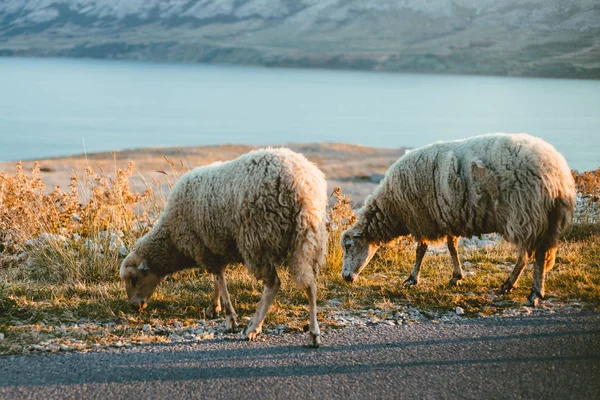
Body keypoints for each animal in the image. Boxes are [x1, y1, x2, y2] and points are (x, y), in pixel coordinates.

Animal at [119, 148, 326, 348]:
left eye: (134, 279)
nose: (133, 306)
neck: (172, 237)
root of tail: (301, 187)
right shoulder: (216, 246)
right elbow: (217, 280)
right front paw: (214, 307)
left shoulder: (204, 247)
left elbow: (219, 279)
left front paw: (230, 319)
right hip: (310, 239)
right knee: (311, 284)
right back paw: (313, 333)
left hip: (257, 240)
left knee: (273, 284)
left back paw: (253, 327)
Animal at [340, 134, 576, 306]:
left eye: (349, 246)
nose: (345, 278)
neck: (393, 205)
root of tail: (558, 173)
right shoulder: (445, 216)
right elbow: (452, 246)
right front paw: (456, 276)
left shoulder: (421, 217)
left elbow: (421, 250)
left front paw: (412, 279)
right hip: (539, 218)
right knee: (527, 255)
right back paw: (509, 285)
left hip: (527, 212)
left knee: (536, 255)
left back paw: (534, 292)